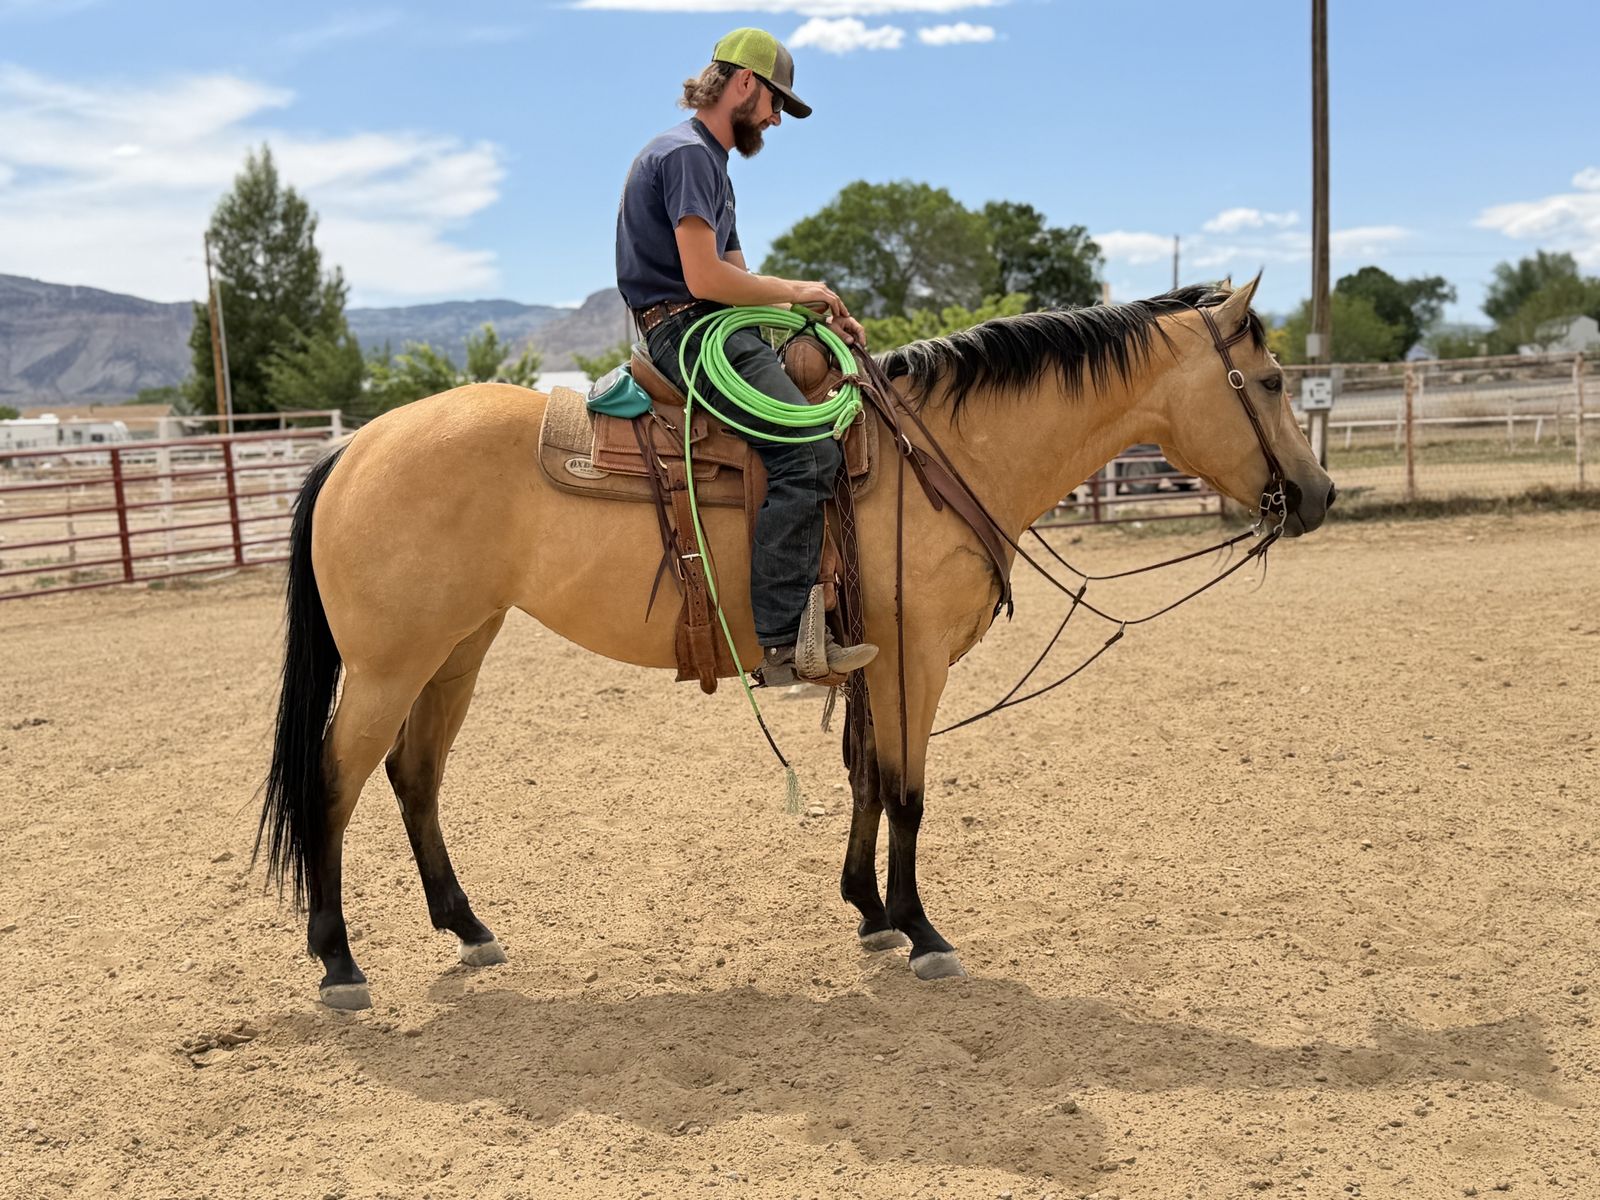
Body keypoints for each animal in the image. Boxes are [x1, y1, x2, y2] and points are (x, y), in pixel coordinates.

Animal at [256, 277, 1335, 1010]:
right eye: (1271, 378)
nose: (1319, 496)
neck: (942, 455)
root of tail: (350, 446)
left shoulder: (869, 660)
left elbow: (865, 782)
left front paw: (869, 912)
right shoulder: (915, 658)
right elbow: (906, 789)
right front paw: (922, 930)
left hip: (459, 647)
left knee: (415, 776)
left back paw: (469, 928)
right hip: (391, 663)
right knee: (334, 782)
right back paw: (339, 961)